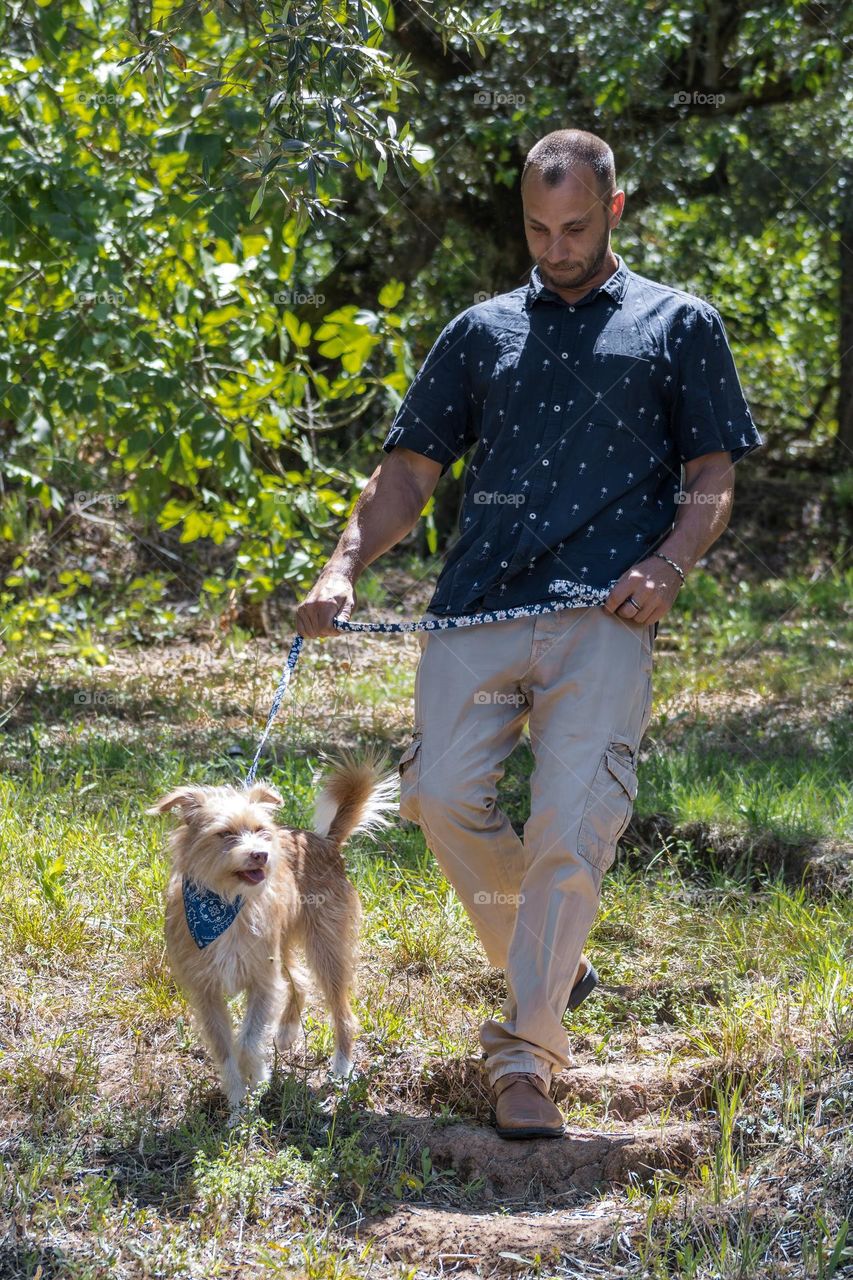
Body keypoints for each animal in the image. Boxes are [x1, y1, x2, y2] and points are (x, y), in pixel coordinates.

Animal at [147, 747, 399, 1111]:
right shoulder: (207, 993)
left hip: (326, 948)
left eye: (260, 829)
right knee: (301, 981)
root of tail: (325, 843)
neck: (224, 903)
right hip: (285, 942)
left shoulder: (262, 983)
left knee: (343, 1015)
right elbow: (225, 1050)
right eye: (225, 834)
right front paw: (238, 1098)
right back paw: (287, 1032)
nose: (261, 855)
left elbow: (248, 1042)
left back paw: (341, 1070)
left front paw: (259, 1077)